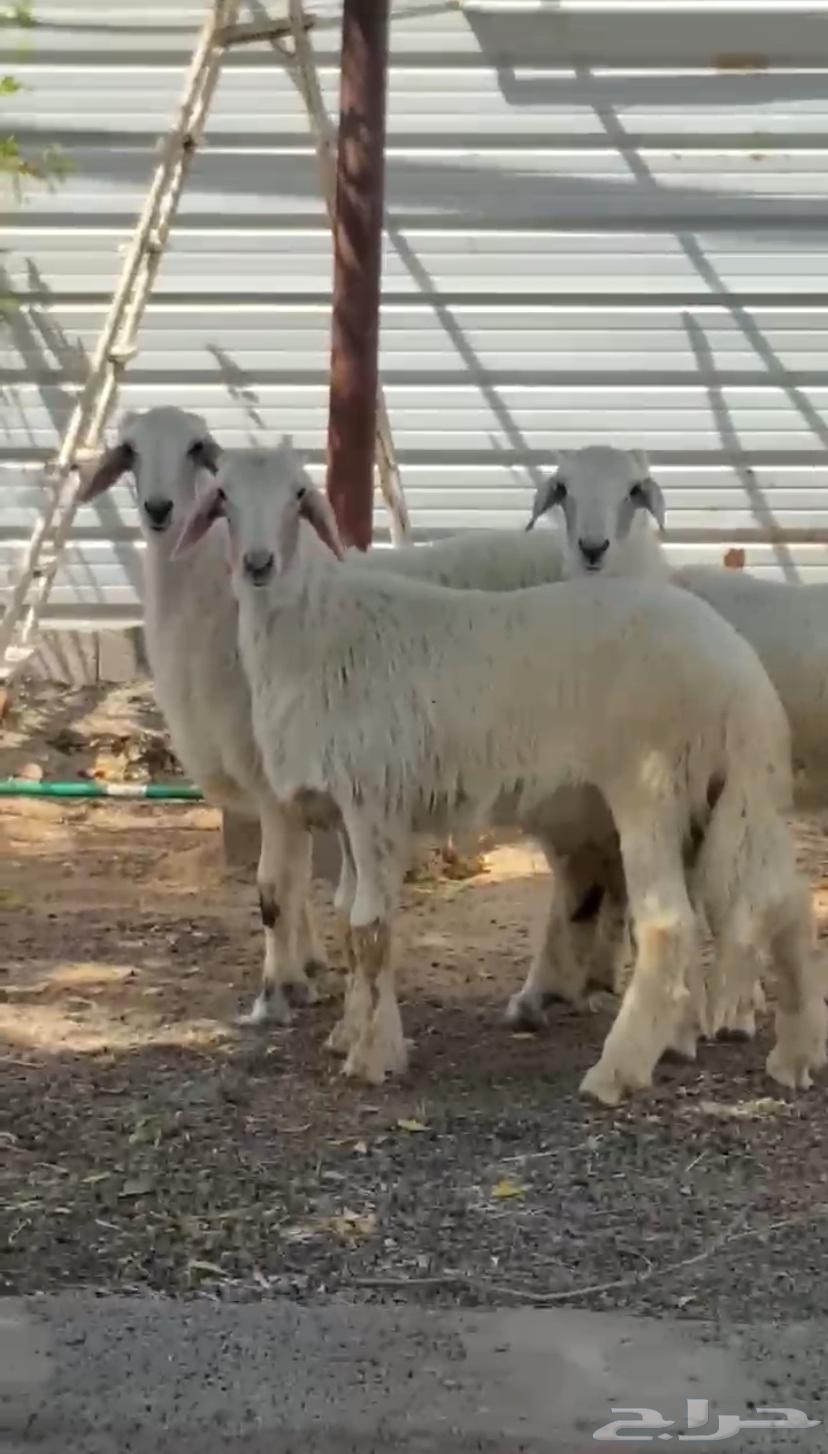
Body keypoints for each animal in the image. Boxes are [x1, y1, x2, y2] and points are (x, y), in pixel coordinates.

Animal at [174, 442, 827, 1104]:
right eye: (223, 495)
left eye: (298, 495)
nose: (258, 564)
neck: (312, 630)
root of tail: (738, 668)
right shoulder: (344, 808)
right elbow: (350, 926)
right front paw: (351, 1033)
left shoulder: (373, 801)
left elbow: (370, 930)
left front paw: (373, 1057)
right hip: (724, 795)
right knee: (784, 902)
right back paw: (796, 1055)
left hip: (651, 786)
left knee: (670, 922)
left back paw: (615, 1071)